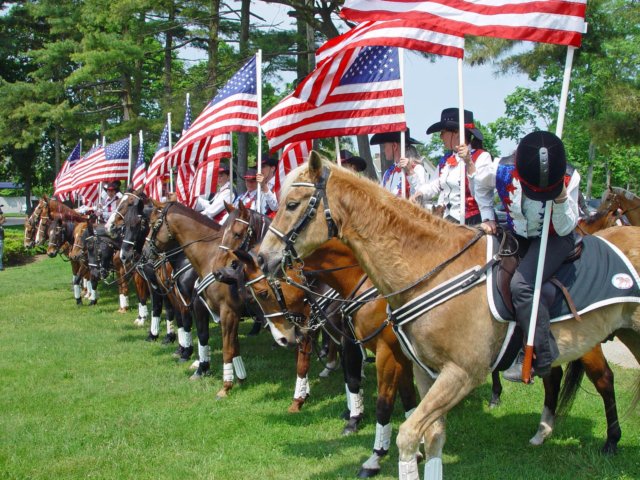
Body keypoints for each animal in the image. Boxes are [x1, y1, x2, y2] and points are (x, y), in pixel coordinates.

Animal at [258, 154, 640, 480]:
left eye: (292, 205)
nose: (263, 257)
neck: (429, 267)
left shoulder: (455, 372)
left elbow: (404, 428)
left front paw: (376, 456)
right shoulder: (426, 371)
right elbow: (430, 434)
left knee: (603, 380)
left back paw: (609, 441)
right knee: (556, 377)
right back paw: (544, 431)